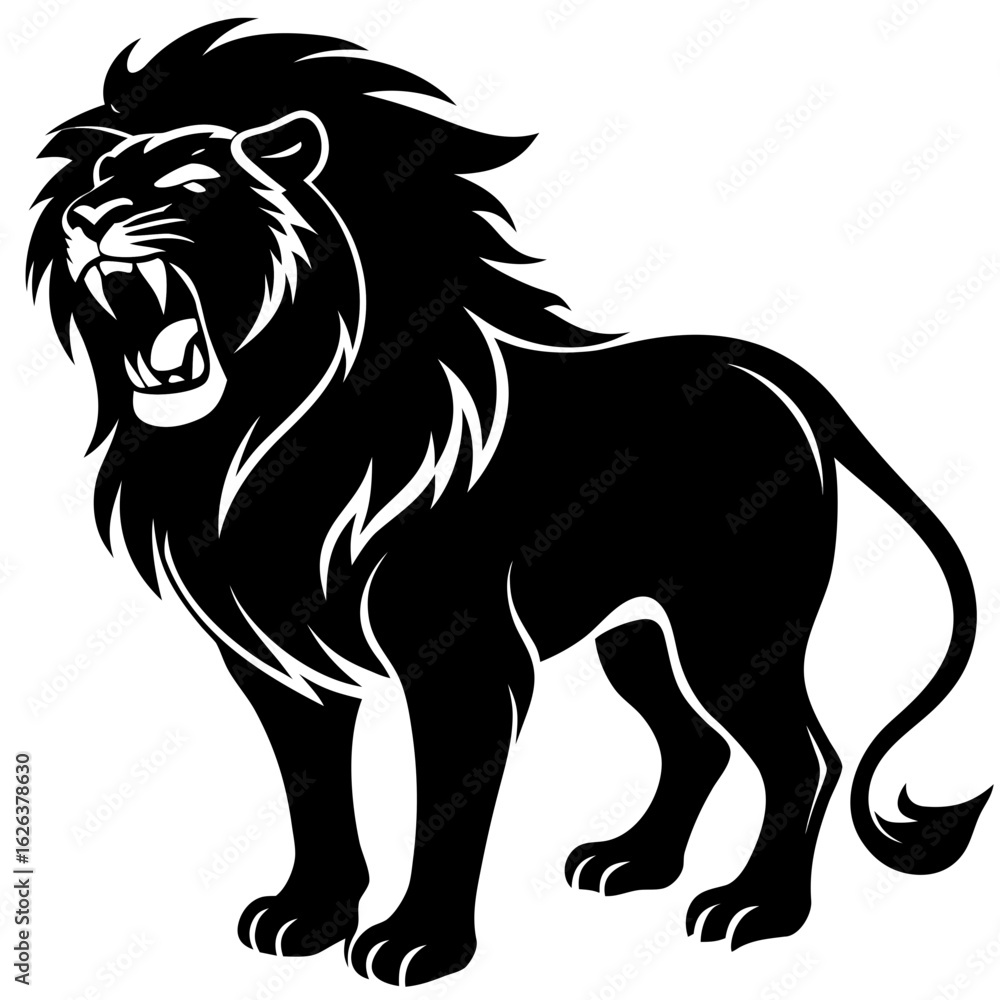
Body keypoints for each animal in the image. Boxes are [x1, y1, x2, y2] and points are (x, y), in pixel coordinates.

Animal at [28, 19, 990, 987]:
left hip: (733, 625)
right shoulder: (277, 667)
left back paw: (755, 909)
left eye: (192, 184)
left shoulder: (462, 659)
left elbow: (446, 808)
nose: (85, 222)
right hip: (639, 634)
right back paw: (631, 863)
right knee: (697, 743)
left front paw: (417, 945)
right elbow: (316, 797)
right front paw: (307, 918)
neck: (256, 437)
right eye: (97, 183)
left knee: (802, 757)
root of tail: (775, 372)